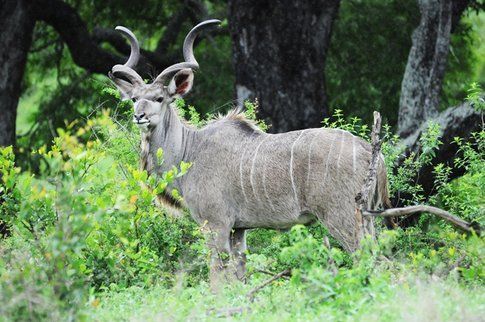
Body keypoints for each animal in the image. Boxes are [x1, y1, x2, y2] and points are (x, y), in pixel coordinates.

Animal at [108, 19, 390, 286]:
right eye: (134, 99)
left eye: (159, 99)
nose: (139, 116)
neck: (190, 151)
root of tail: (371, 151)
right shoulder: (239, 230)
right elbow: (239, 275)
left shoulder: (216, 224)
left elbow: (216, 277)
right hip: (366, 218)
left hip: (341, 216)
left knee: (375, 260)